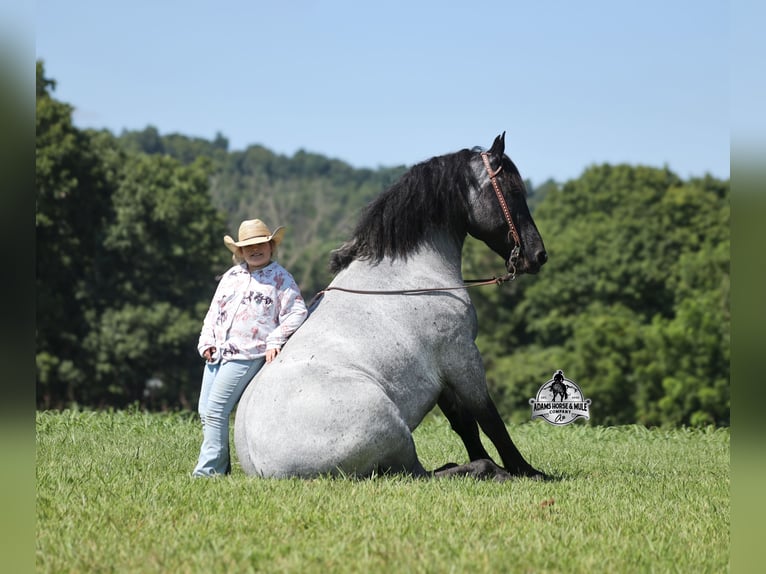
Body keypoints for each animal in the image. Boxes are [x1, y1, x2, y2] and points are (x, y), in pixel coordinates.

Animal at [234, 133, 548, 480]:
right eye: (513, 191)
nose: (538, 255)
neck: (409, 272)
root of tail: (262, 467)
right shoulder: (461, 356)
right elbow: (489, 418)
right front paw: (526, 470)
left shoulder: (443, 373)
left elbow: (465, 424)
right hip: (394, 430)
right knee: (421, 473)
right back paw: (490, 470)